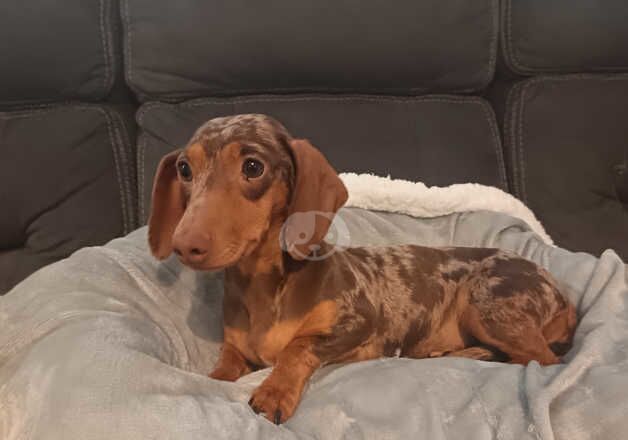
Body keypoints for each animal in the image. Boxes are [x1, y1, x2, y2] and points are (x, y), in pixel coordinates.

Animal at [146, 112, 576, 422]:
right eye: (185, 169)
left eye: (253, 167)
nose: (184, 246)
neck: (264, 287)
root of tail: (560, 291)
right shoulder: (236, 350)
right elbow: (224, 367)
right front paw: (215, 380)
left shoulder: (359, 322)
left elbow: (297, 347)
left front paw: (273, 390)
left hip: (488, 306)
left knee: (543, 360)